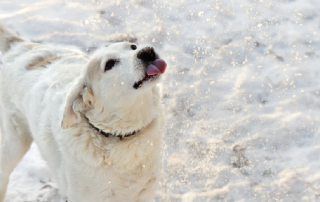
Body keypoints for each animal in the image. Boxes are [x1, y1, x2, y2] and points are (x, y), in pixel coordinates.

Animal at [0, 20, 166, 202]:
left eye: (133, 47)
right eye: (110, 64)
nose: (147, 52)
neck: (119, 136)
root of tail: (19, 46)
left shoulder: (145, 194)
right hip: (14, 142)